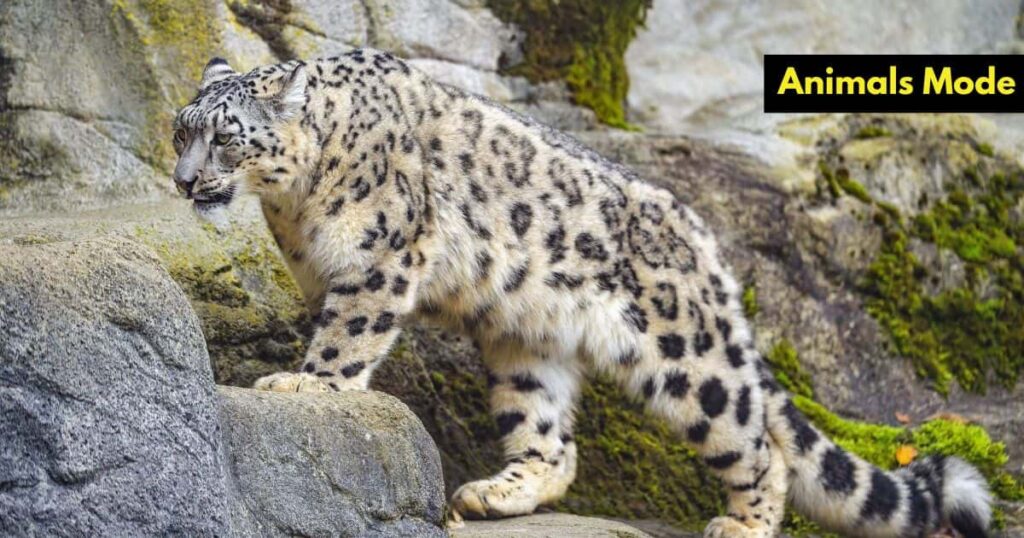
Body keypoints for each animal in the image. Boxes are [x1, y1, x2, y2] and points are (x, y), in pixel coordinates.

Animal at [171, 50, 992, 537]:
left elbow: (349, 335)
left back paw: (744, 523)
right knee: (552, 440)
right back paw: (496, 493)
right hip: (525, 340)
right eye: (182, 130)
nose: (183, 180)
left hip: (689, 361)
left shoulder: (381, 259)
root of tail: (709, 247)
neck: (293, 206)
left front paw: (304, 384)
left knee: (758, 443)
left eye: (226, 137)